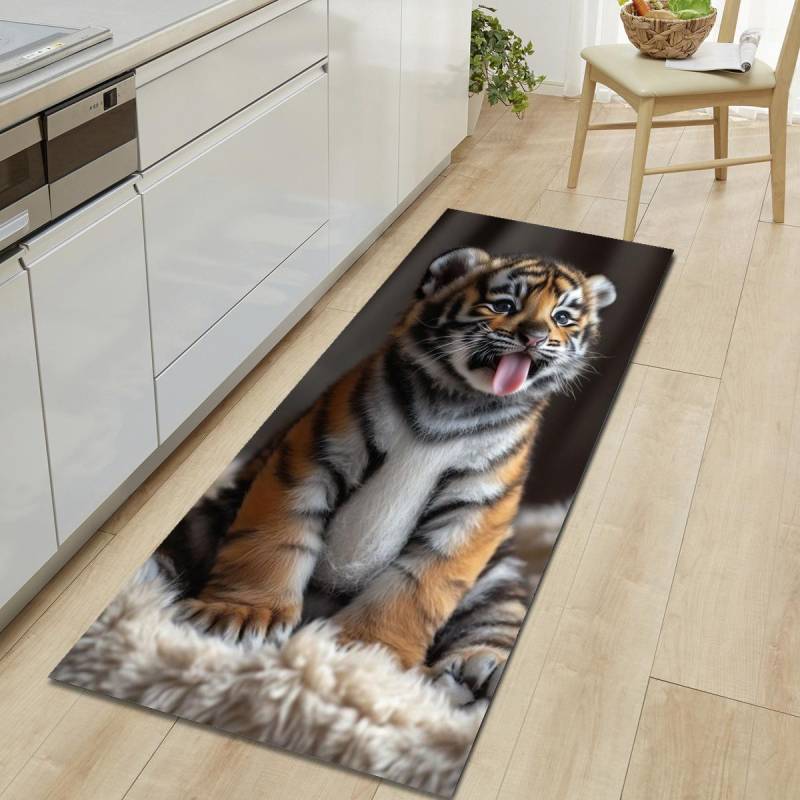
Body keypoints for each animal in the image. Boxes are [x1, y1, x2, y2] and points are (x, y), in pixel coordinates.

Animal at [164, 247, 616, 699]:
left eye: (562, 317)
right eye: (505, 305)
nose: (535, 337)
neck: (458, 403)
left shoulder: (475, 508)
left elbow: (417, 587)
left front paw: (368, 654)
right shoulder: (313, 455)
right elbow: (273, 539)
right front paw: (239, 614)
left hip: (496, 577)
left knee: (496, 620)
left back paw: (477, 670)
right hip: (207, 517)